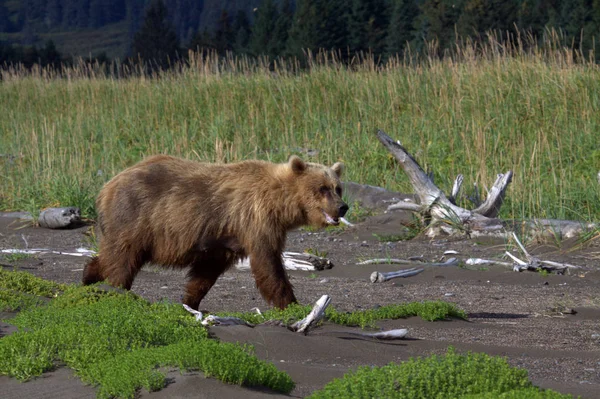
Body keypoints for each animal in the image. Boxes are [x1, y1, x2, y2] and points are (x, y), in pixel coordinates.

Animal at [82, 155, 350, 310]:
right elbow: (269, 264)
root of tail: (107, 187)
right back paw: (115, 289)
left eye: (338, 188)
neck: (279, 203)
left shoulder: (225, 239)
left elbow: (206, 272)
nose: (343, 207)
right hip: (135, 217)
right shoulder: (256, 221)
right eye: (323, 188)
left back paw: (88, 276)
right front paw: (292, 304)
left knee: (112, 255)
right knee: (123, 259)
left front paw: (191, 301)